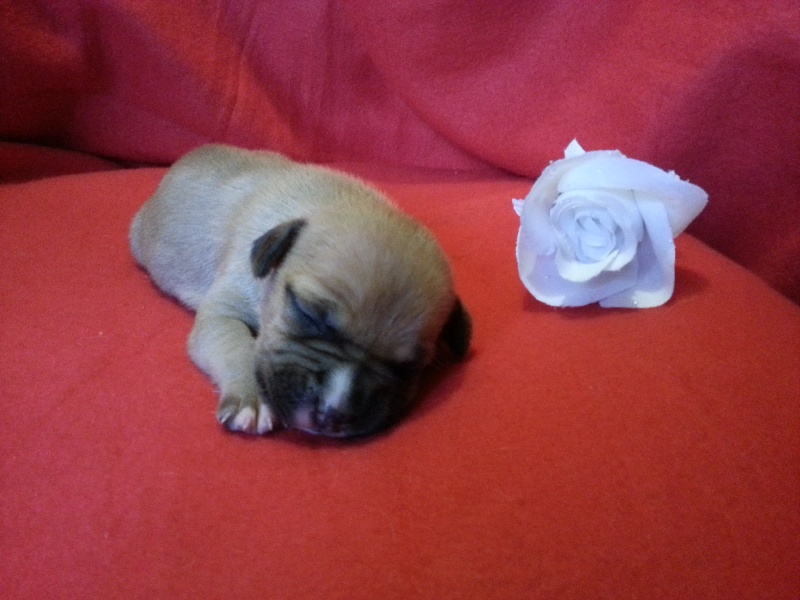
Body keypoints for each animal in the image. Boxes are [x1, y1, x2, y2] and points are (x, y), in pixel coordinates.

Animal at [130, 145, 471, 438]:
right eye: (307, 312)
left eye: (408, 368)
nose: (333, 415)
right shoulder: (223, 312)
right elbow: (236, 344)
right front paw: (251, 397)